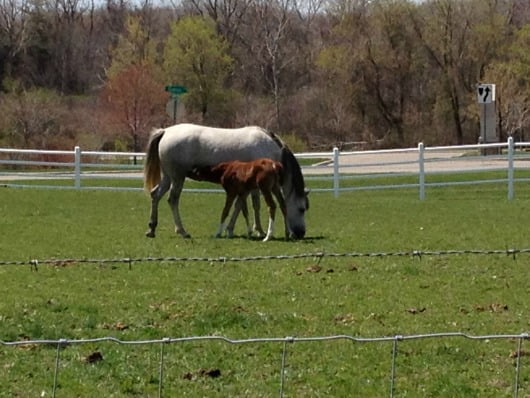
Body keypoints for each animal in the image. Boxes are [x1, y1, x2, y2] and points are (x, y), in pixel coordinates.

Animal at [142, 123, 308, 238]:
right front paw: (259, 230)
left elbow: (241, 206)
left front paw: (233, 229)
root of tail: (165, 131)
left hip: (168, 177)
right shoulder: (256, 186)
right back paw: (182, 231)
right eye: (302, 209)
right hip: (177, 177)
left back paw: (151, 228)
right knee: (173, 199)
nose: (301, 233)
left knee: (155, 194)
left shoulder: (246, 186)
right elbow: (254, 205)